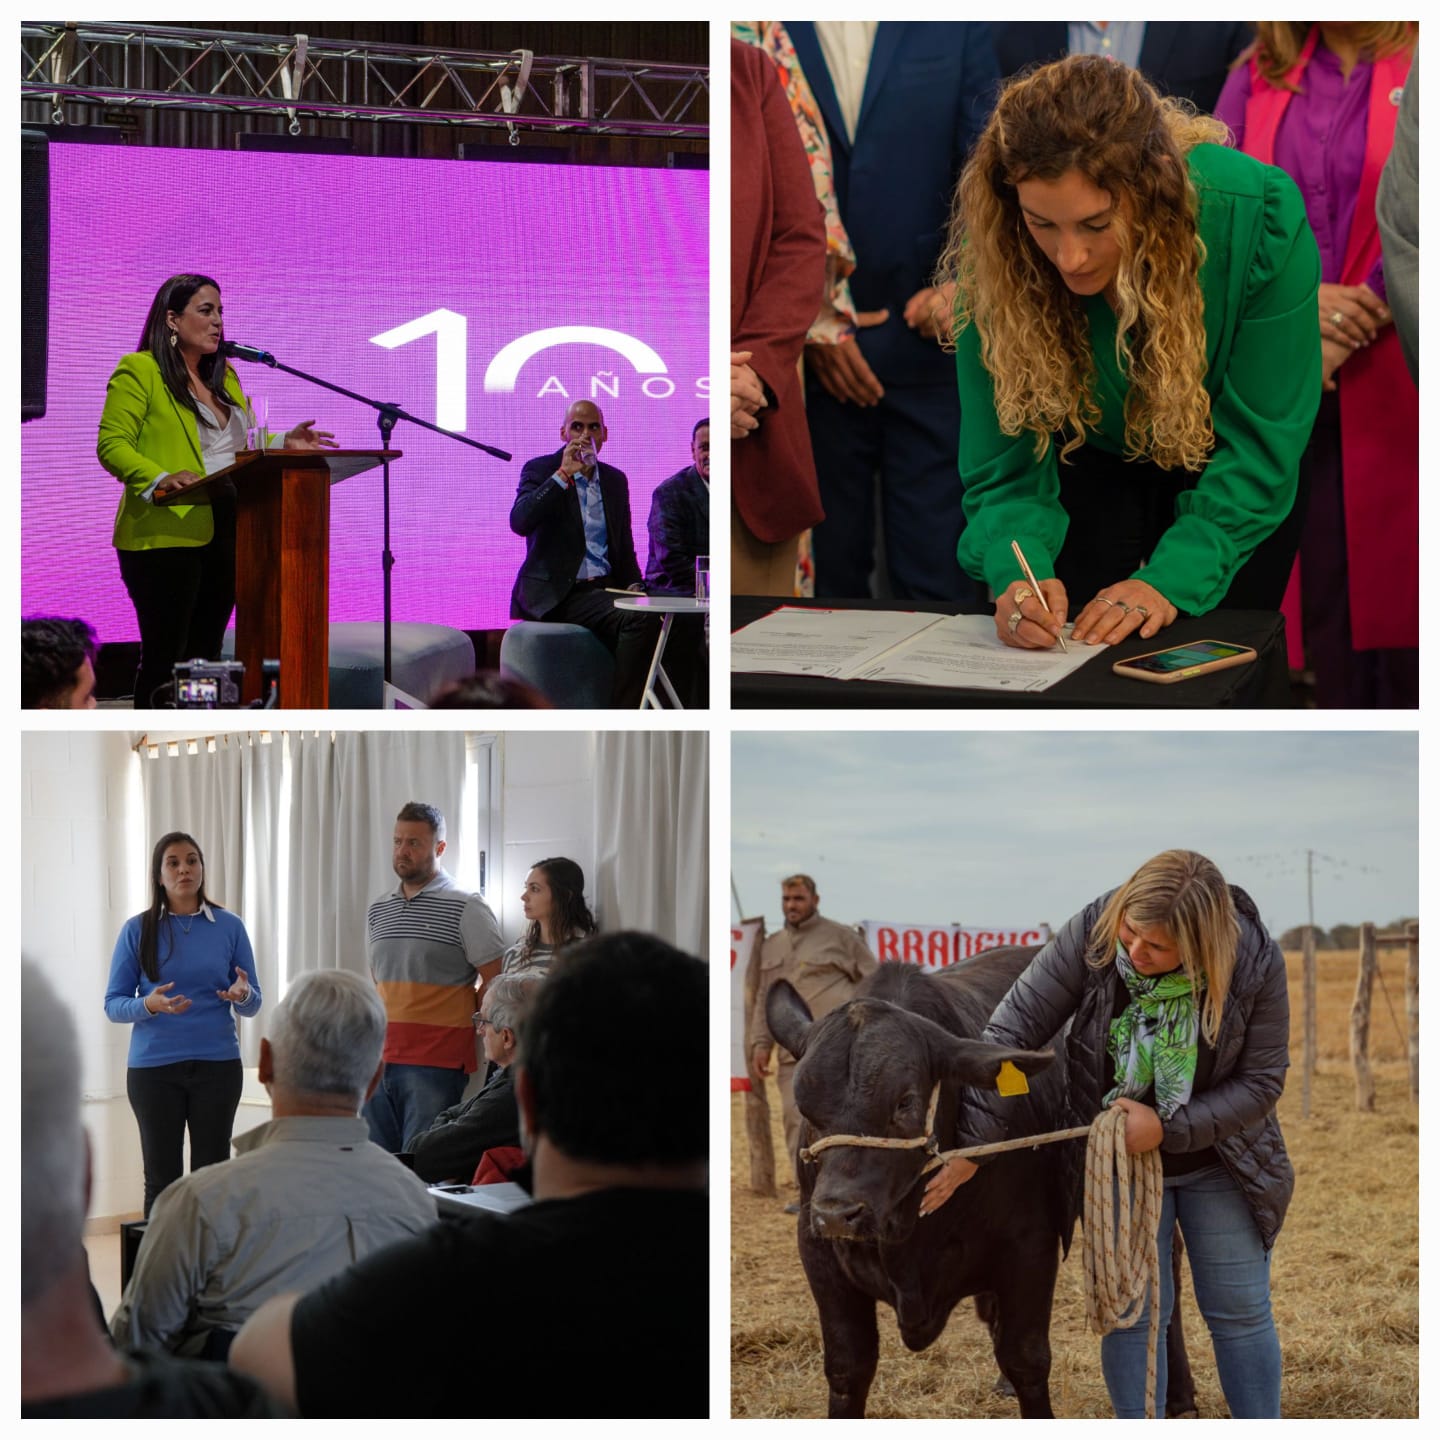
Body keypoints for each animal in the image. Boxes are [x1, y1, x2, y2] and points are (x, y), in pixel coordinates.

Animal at [771, 944, 1198, 1416]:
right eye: (804, 1105)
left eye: (905, 1102)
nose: (837, 1214)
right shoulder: (819, 1255)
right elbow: (849, 1368)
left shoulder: (1031, 1246)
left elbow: (1026, 1357)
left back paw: (1181, 1395)